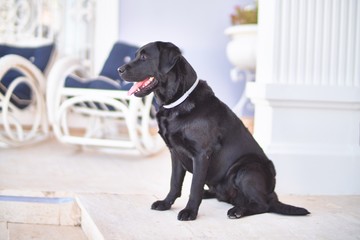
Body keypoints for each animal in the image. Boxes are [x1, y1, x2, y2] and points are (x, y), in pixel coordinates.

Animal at [118, 41, 310, 221]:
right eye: (136, 55)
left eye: (144, 57)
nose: (119, 69)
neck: (179, 103)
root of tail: (272, 194)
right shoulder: (175, 153)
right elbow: (174, 183)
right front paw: (166, 203)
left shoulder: (201, 154)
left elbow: (194, 186)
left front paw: (189, 212)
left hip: (246, 168)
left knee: (262, 205)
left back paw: (238, 211)